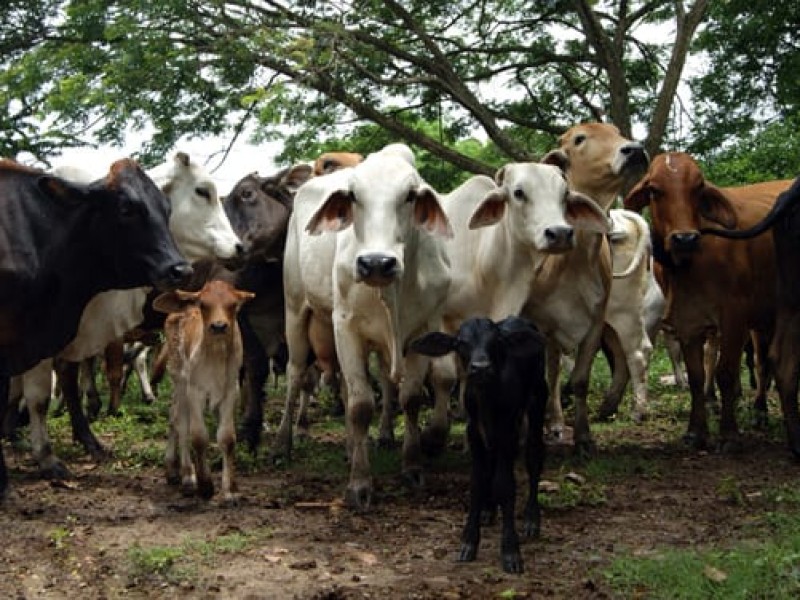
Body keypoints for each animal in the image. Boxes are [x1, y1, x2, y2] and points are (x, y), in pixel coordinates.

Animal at [155, 280, 255, 502]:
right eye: (203, 304)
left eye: (233, 305)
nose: (218, 326)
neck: (216, 356)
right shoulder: (195, 391)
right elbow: (199, 437)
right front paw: (206, 485)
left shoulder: (231, 391)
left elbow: (227, 438)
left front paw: (230, 490)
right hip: (180, 381)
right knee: (180, 422)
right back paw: (187, 475)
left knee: (173, 417)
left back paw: (172, 470)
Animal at [282, 144, 454, 506]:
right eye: (353, 195)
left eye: (410, 195)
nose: (376, 263)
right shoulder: (346, 327)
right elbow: (361, 407)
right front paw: (359, 484)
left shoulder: (421, 333)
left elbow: (409, 398)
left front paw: (412, 467)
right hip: (295, 310)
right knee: (296, 374)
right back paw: (281, 444)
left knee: (351, 389)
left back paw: (350, 447)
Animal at [412, 316, 552, 576]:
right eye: (461, 342)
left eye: (496, 341)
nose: (481, 367)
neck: (488, 398)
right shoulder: (474, 432)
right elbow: (477, 482)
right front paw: (469, 541)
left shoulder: (509, 431)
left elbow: (505, 485)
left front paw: (510, 551)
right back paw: (488, 510)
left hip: (539, 396)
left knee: (534, 455)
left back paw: (531, 518)